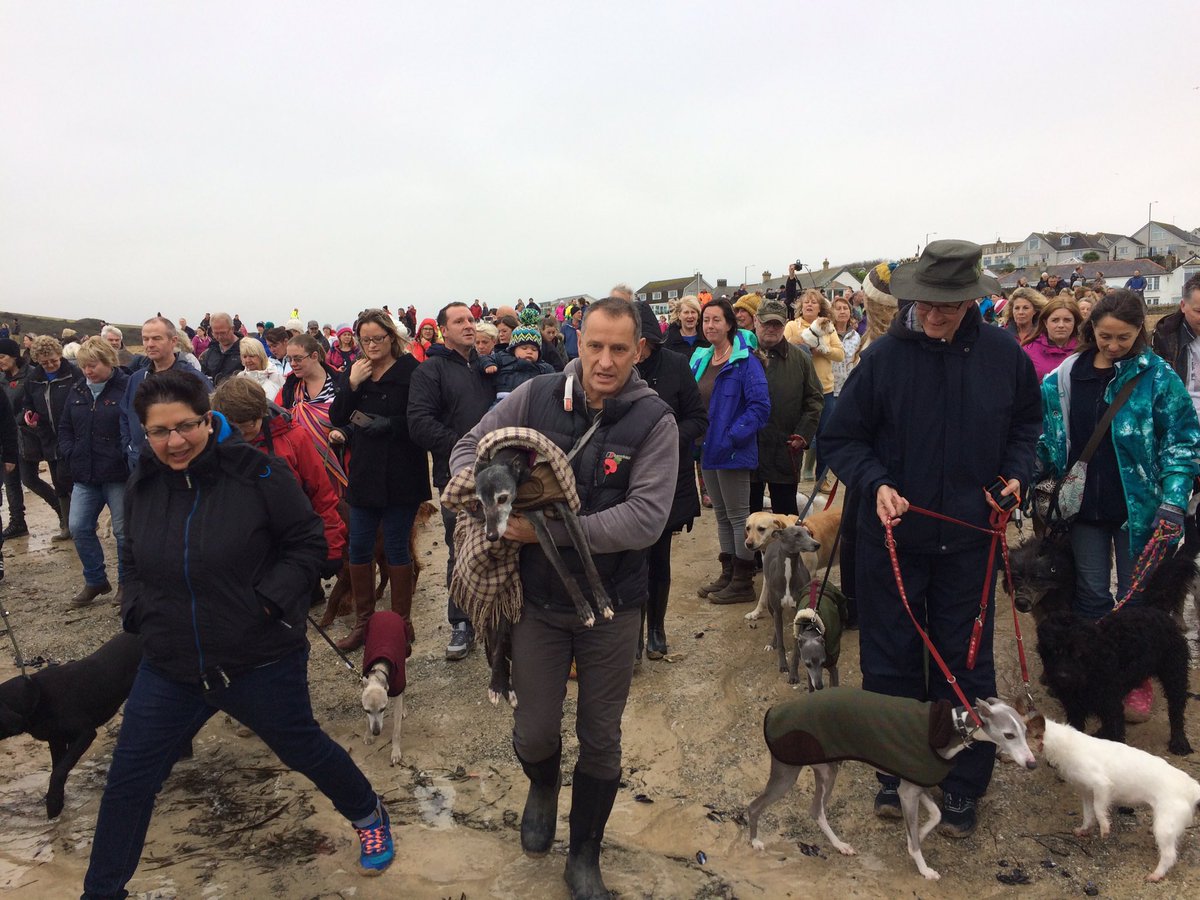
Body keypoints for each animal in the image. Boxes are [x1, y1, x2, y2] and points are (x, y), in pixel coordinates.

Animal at [0, 633, 142, 816]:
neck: (36, 696)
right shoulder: (57, 740)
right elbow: (57, 767)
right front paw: (57, 800)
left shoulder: (85, 733)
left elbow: (59, 770)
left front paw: (53, 804)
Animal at [1036, 609, 1195, 758]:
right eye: (1054, 650)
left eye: (1078, 652)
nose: (1062, 677)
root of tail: (1163, 616)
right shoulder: (1074, 706)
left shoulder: (1110, 703)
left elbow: (1116, 733)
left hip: (1175, 676)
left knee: (1176, 711)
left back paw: (1179, 742)